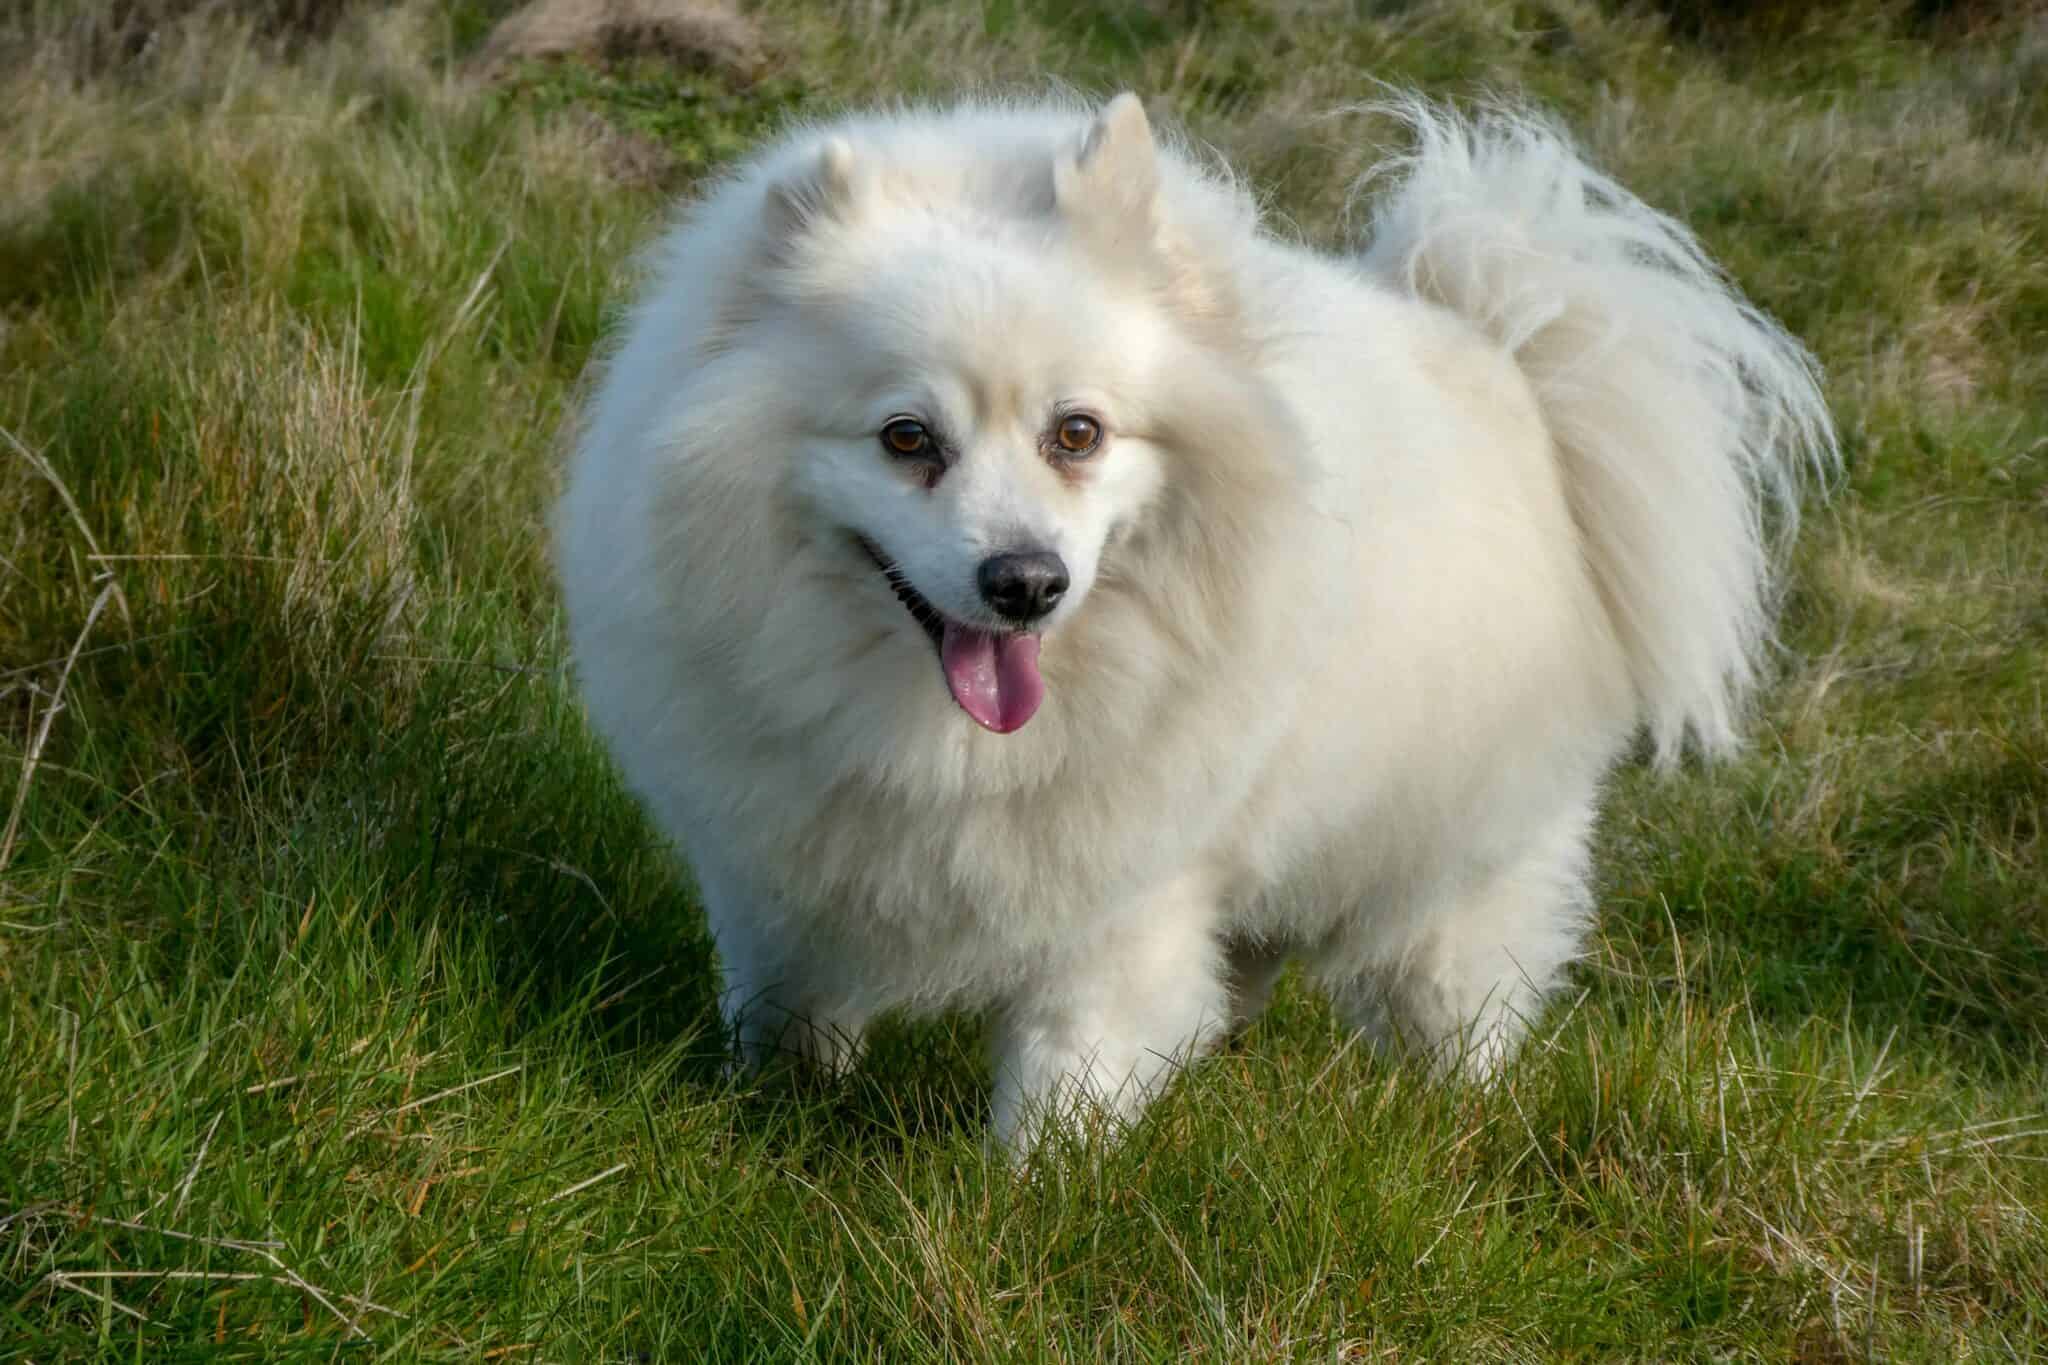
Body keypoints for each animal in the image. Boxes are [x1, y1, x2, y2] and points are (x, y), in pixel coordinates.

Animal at [552, 90, 1835, 1146]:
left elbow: (1065, 1073)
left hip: (1453, 869)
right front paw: (763, 1111)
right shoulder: (774, 862)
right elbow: (784, 1005)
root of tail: (1501, 356)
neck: (942, 741)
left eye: (1076, 433)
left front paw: (1019, 1207)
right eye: (905, 438)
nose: (1025, 581)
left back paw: (1450, 1120)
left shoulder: (1123, 895)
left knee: (1457, 995)